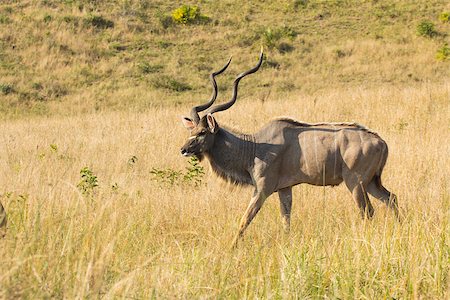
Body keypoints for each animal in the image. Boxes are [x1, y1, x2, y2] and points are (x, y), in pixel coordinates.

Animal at [179, 51, 398, 246]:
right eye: (193, 130)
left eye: (202, 132)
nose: (183, 149)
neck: (254, 147)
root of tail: (381, 142)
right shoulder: (285, 189)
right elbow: (286, 220)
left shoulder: (262, 189)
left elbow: (245, 220)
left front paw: (231, 247)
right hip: (371, 182)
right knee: (391, 198)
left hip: (355, 183)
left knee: (368, 211)